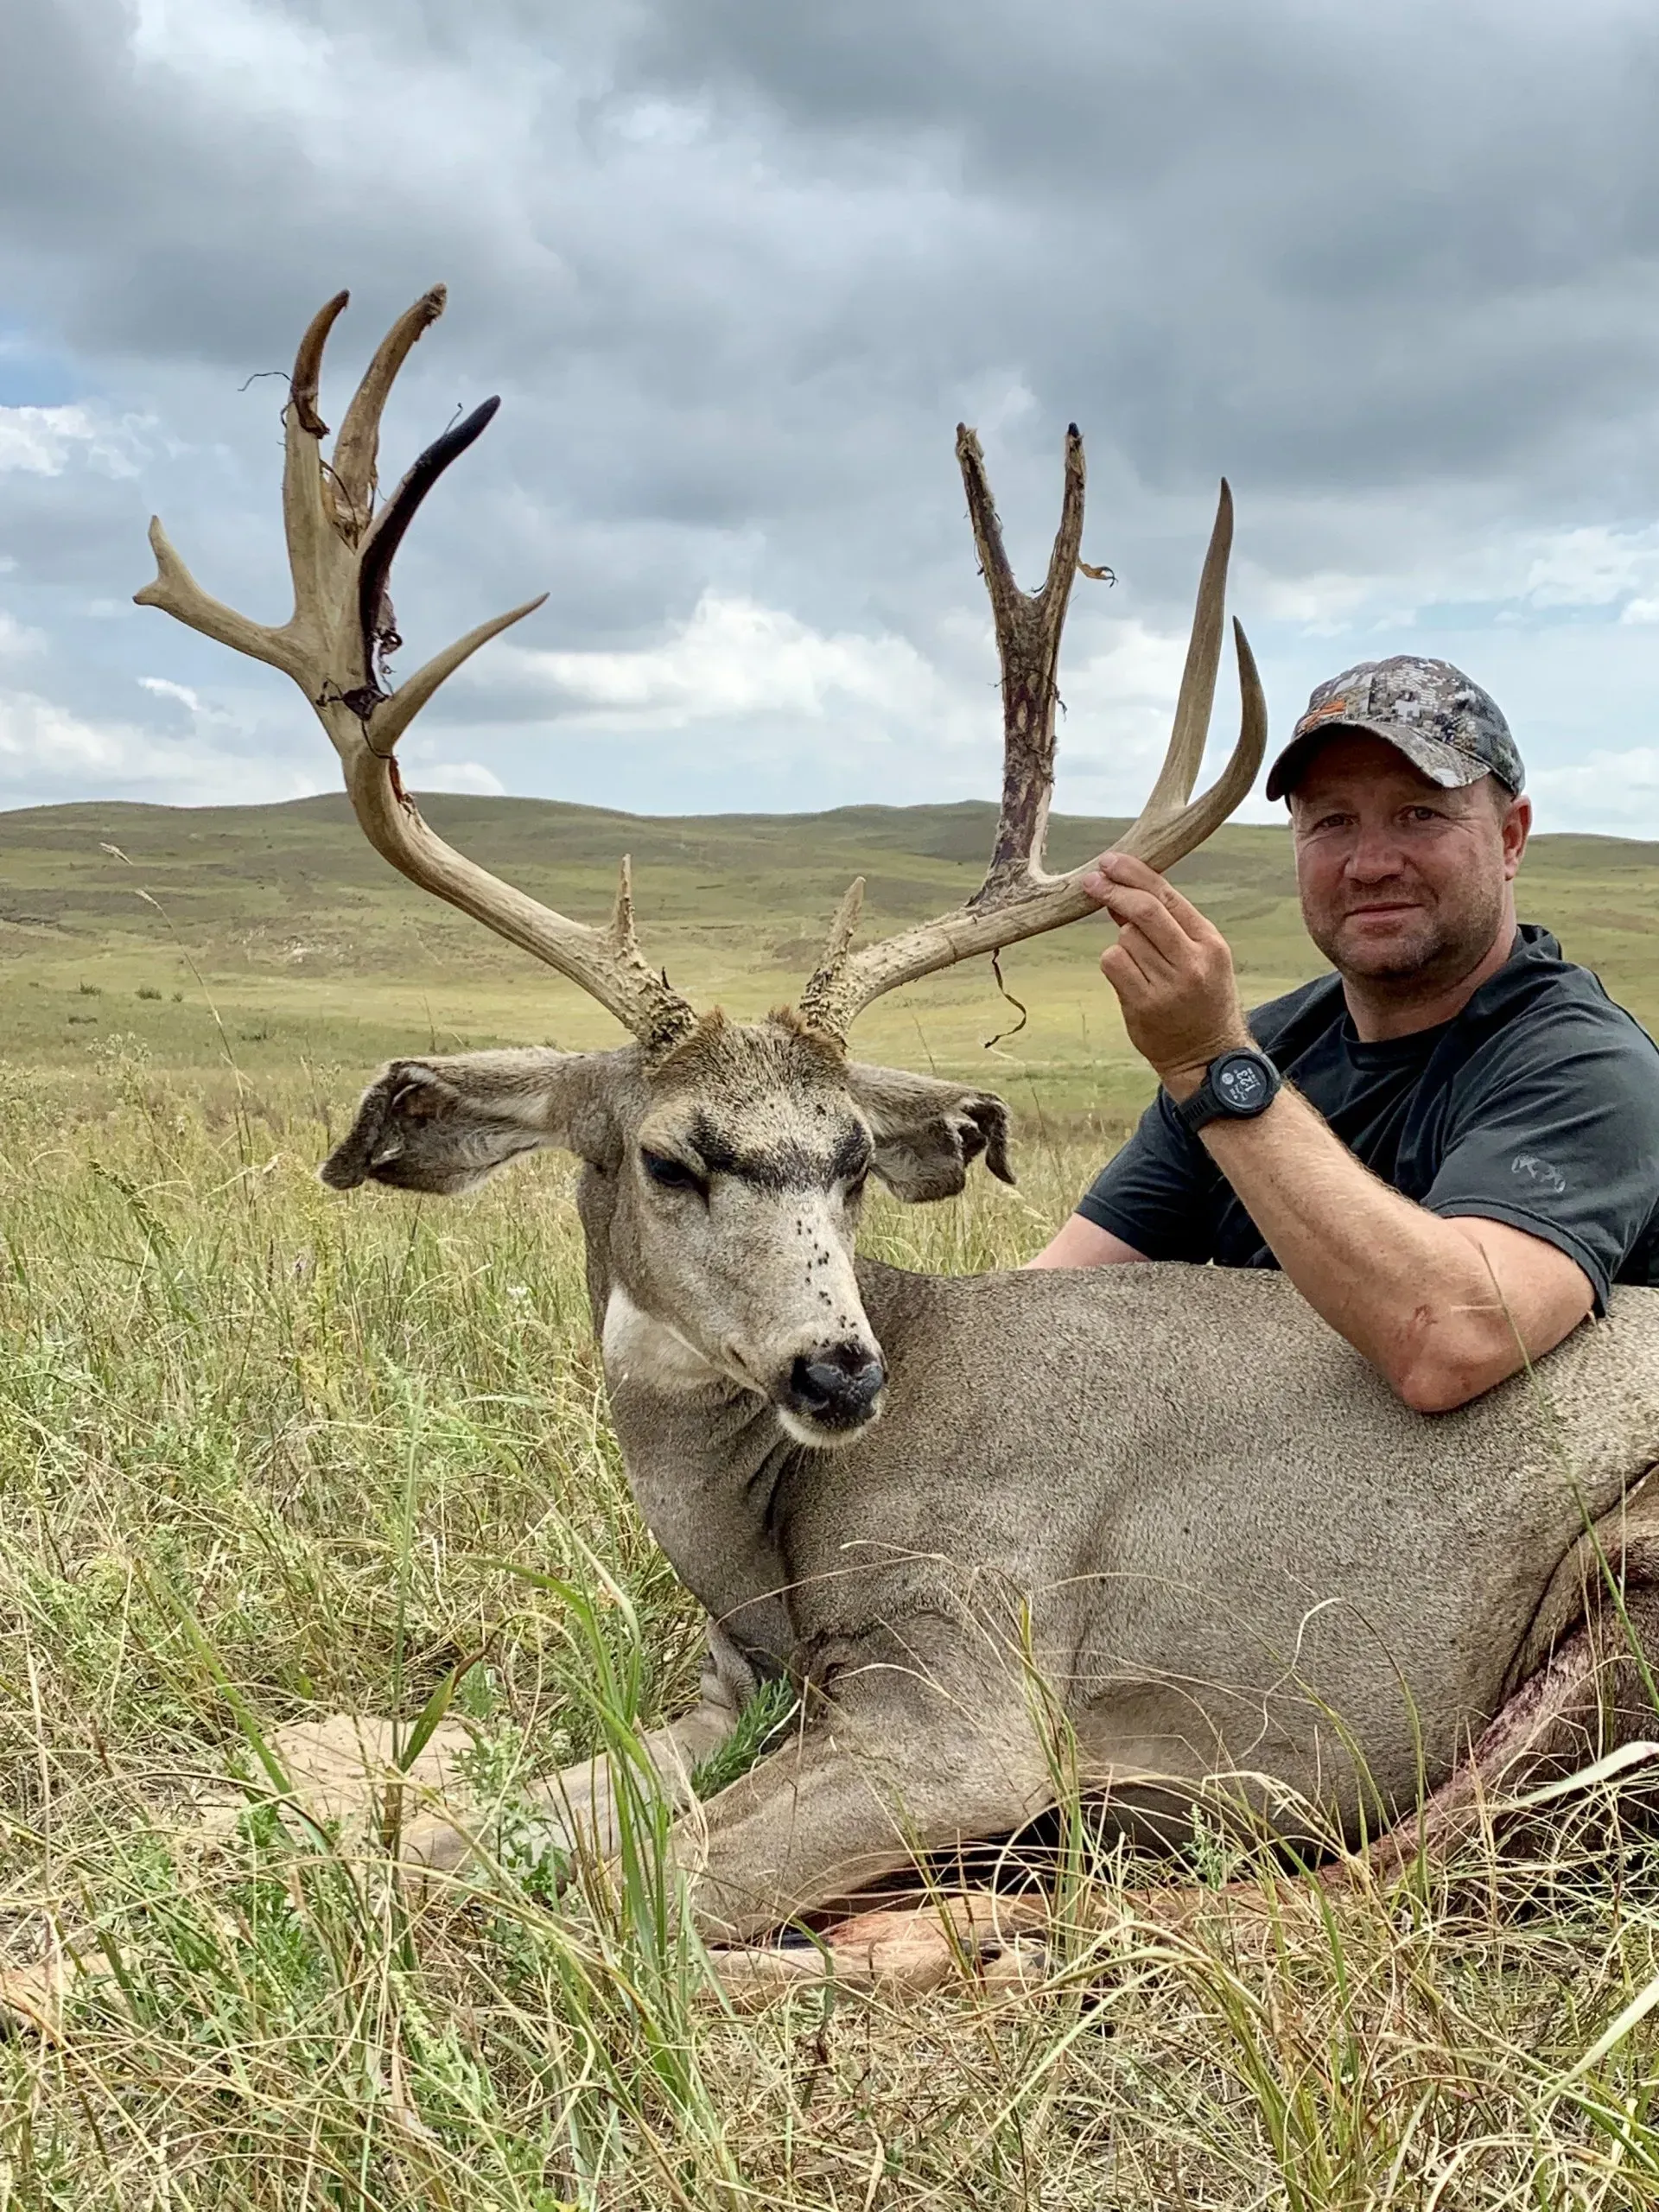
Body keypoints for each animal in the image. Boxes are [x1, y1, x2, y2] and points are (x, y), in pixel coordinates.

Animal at [136, 289, 1659, 1975]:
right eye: (671, 1156)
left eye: (855, 1159)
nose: (838, 1370)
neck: (767, 1539)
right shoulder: (739, 1684)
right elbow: (467, 1833)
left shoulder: (967, 1687)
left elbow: (616, 1897)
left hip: (1604, 1597)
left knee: (1368, 1885)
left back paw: (967, 1928)